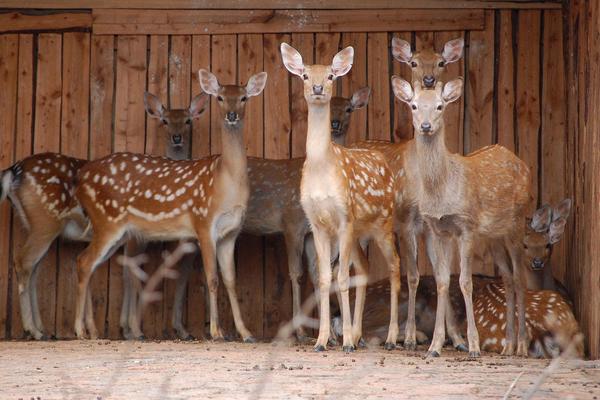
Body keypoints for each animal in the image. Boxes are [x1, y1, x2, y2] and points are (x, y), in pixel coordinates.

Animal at [0, 93, 209, 340]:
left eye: (188, 120)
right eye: (164, 121)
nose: (177, 138)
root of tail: (13, 171)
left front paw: (121, 328)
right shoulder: (135, 237)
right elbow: (131, 274)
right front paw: (133, 330)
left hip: (34, 224)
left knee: (34, 268)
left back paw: (42, 329)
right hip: (46, 222)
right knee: (25, 262)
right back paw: (34, 330)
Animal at [71, 69, 266, 340]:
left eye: (244, 97)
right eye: (219, 97)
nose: (231, 115)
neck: (225, 182)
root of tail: (80, 179)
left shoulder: (231, 232)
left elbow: (230, 280)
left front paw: (245, 333)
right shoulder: (203, 222)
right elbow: (212, 278)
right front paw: (216, 332)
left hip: (116, 230)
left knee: (89, 263)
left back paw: (93, 331)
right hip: (107, 221)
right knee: (85, 262)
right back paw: (81, 330)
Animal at [282, 42, 404, 352]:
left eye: (330, 76)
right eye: (304, 74)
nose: (316, 88)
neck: (322, 168)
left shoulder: (344, 217)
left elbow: (342, 277)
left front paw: (345, 340)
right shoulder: (317, 223)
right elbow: (326, 278)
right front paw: (322, 340)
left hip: (384, 223)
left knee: (395, 266)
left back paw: (391, 338)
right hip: (360, 232)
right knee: (364, 268)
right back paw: (359, 335)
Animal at [350, 35, 466, 354]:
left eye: (441, 62)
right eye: (413, 62)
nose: (428, 80)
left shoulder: (431, 225)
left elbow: (439, 275)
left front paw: (457, 338)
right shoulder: (405, 222)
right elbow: (412, 276)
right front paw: (410, 337)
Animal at [394, 77, 536, 356]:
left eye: (439, 106)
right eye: (414, 106)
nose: (425, 126)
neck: (442, 190)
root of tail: (520, 161)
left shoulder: (466, 226)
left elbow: (465, 282)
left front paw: (473, 345)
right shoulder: (439, 229)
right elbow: (442, 281)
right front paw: (435, 345)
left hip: (517, 223)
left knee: (519, 277)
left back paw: (522, 346)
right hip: (493, 236)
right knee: (507, 277)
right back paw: (508, 346)